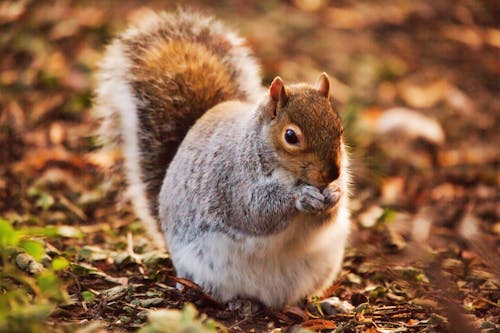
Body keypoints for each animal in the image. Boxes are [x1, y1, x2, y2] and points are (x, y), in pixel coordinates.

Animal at [94, 9, 352, 308]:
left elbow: (326, 218)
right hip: (207, 268)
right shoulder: (231, 179)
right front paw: (301, 197)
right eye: (290, 136)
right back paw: (238, 303)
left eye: (339, 129)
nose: (332, 174)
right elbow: (254, 211)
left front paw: (335, 194)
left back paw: (324, 303)